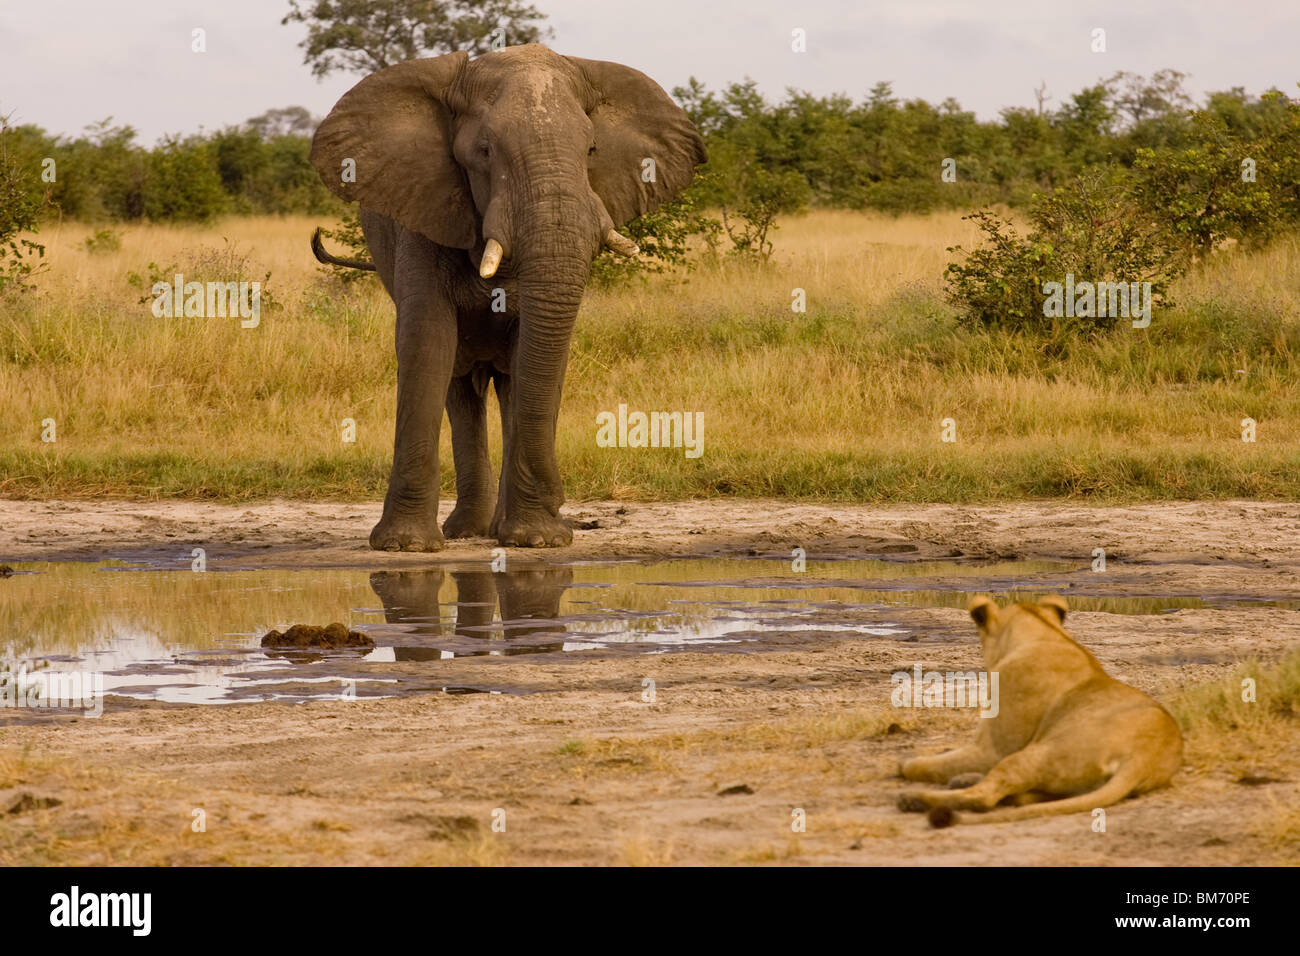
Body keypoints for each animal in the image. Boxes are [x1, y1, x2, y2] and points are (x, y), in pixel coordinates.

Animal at [309, 42, 707, 554]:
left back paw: (498, 529)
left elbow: (533, 361)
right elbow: (427, 342)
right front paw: (405, 546)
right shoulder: (423, 212)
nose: (562, 502)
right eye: (484, 151)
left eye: (591, 150)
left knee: (510, 383)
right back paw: (467, 531)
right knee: (460, 386)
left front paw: (537, 540)